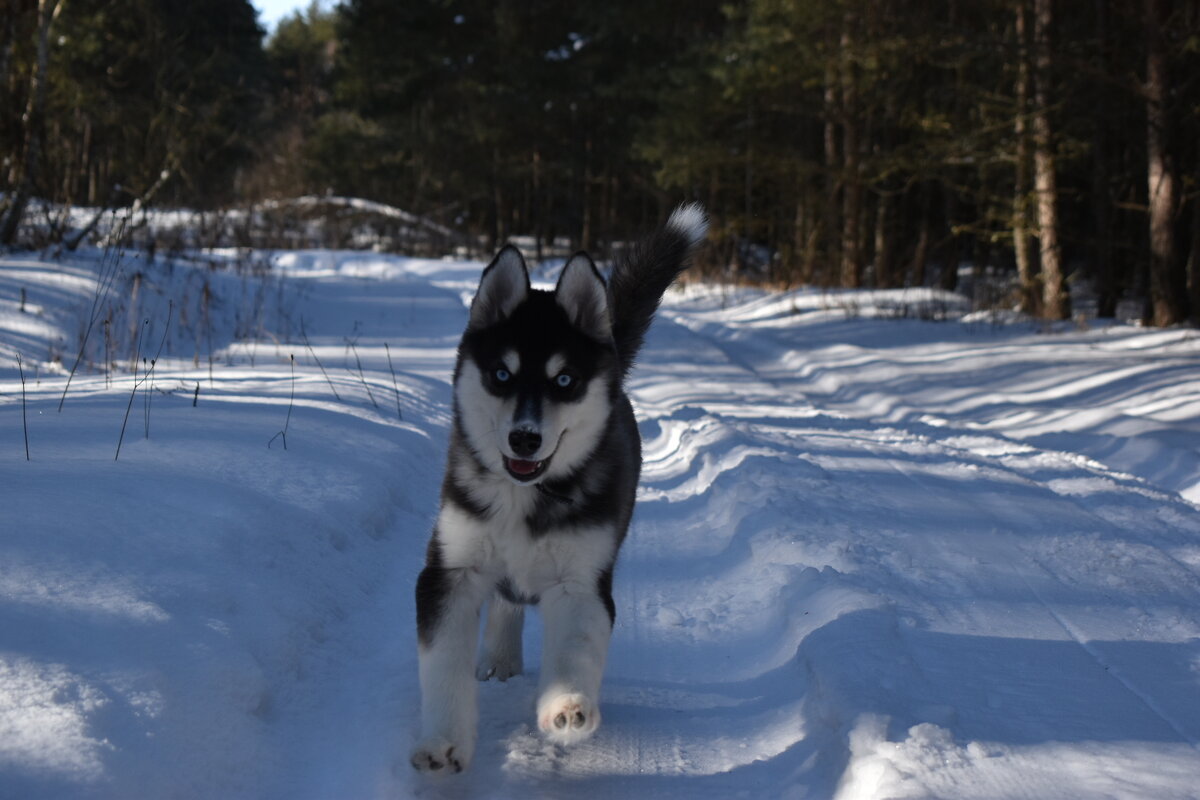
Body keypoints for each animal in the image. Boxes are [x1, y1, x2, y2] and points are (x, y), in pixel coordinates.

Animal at [412, 203, 705, 772]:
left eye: (564, 380)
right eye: (501, 375)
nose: (524, 438)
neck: (523, 497)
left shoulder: (581, 580)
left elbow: (574, 648)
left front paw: (567, 707)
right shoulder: (450, 570)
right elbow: (443, 666)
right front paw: (441, 739)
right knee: (506, 601)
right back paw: (500, 657)